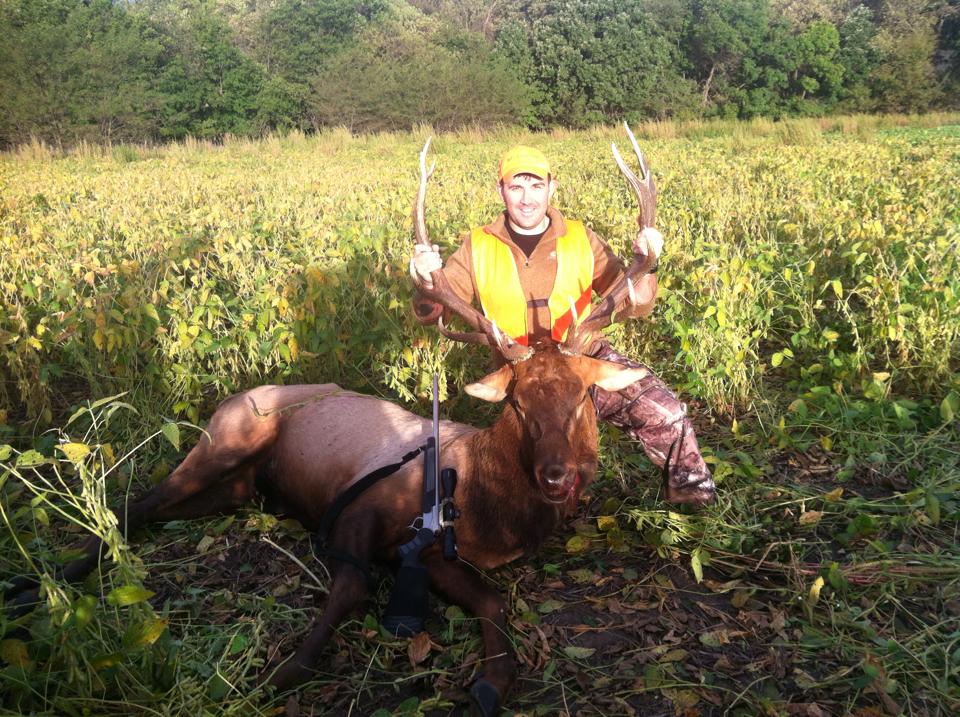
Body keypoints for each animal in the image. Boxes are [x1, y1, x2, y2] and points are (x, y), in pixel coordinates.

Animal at [5, 129, 660, 716]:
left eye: (581, 396)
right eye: (517, 402)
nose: (557, 475)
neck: (490, 507)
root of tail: (235, 395)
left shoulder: (442, 556)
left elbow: (494, 603)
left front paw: (488, 685)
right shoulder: (362, 506)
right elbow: (352, 586)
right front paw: (278, 674)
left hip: (236, 487)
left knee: (159, 509)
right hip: (225, 439)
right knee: (136, 504)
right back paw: (37, 584)